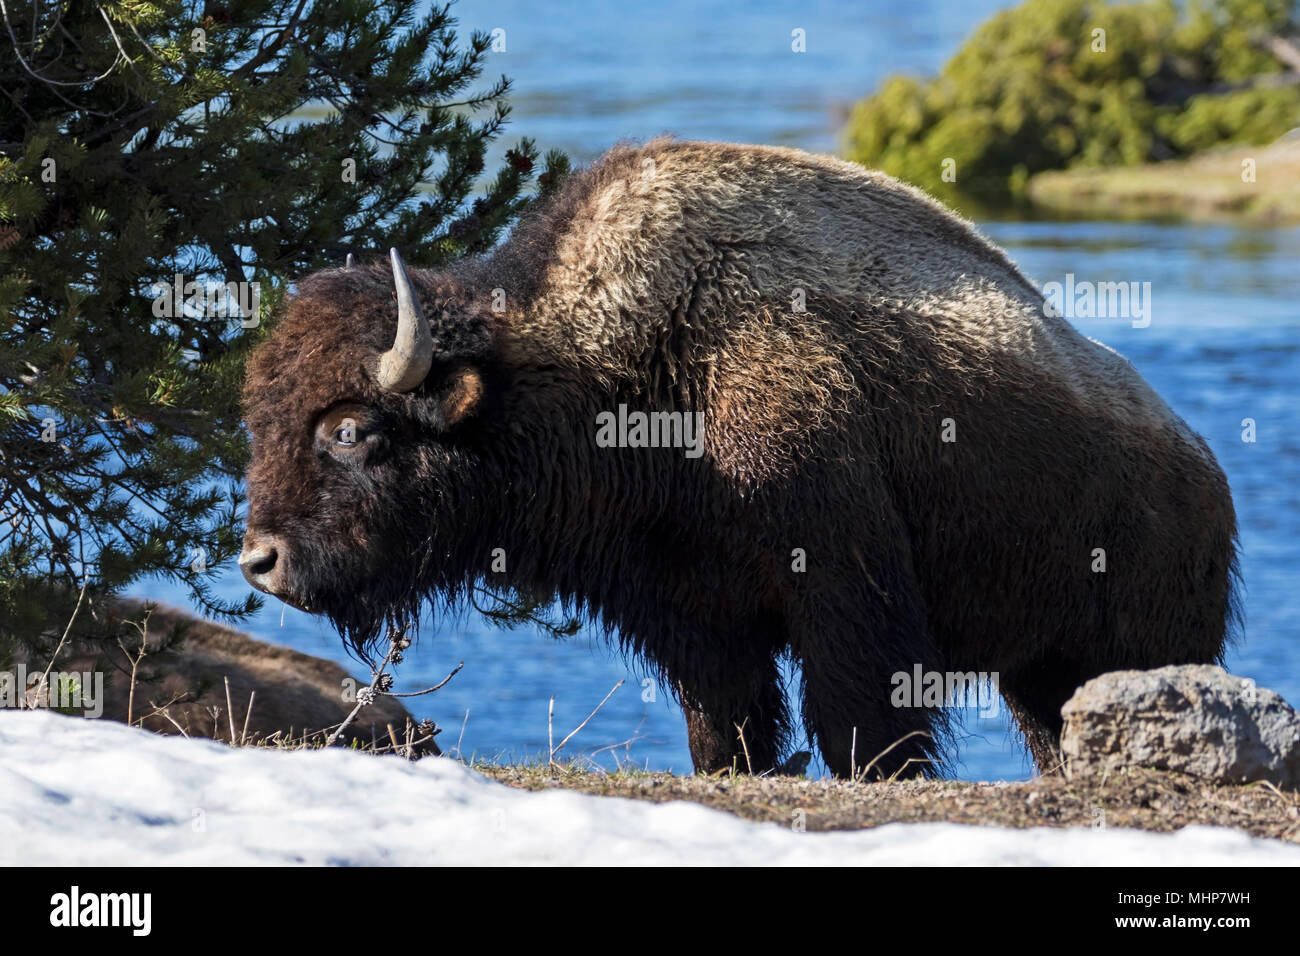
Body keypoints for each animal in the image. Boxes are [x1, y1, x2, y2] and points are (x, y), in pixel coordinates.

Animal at [240, 139, 1239, 778]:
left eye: (349, 429)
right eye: (261, 418)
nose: (260, 561)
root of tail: (1206, 474)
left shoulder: (843, 597)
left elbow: (859, 727)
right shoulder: (694, 618)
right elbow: (727, 730)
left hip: (1136, 646)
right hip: (1039, 673)